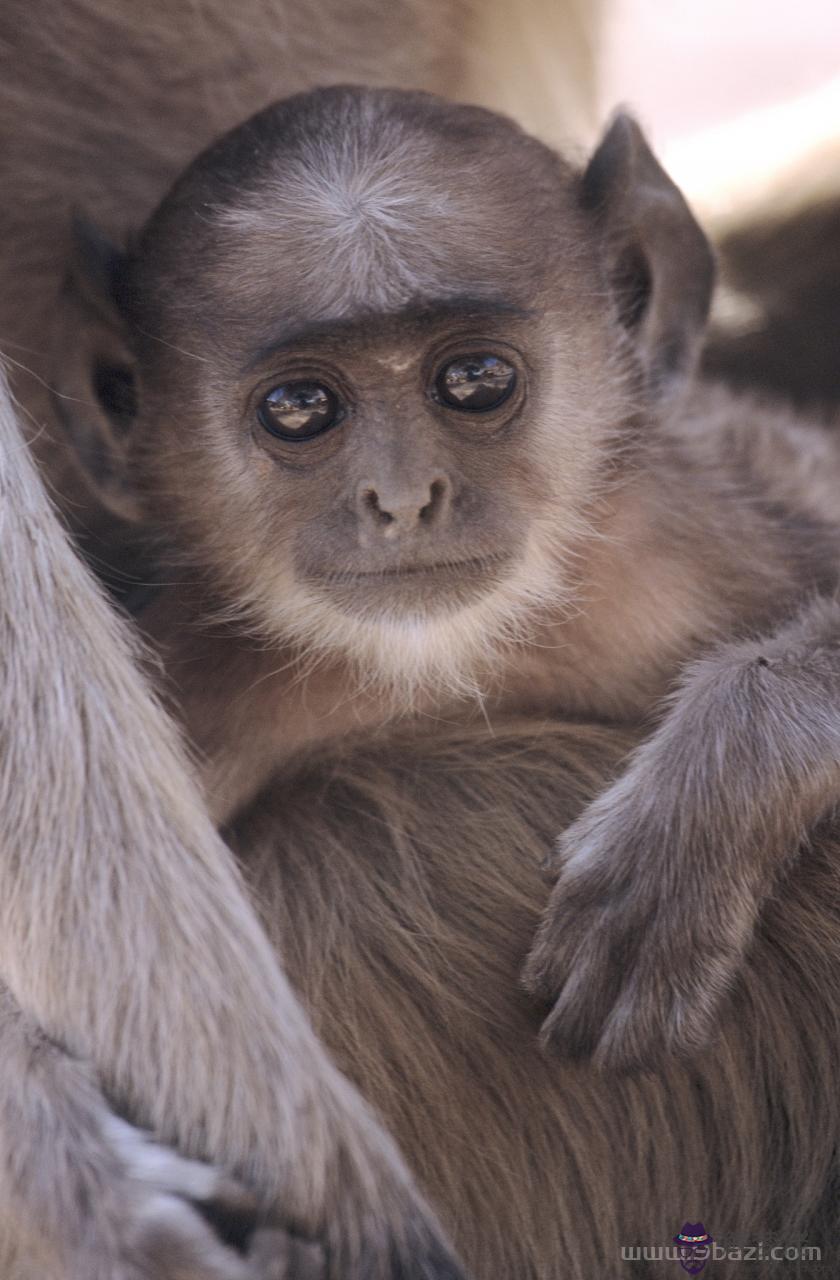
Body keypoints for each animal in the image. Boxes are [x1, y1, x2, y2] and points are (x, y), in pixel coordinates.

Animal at [57, 85, 840, 1070]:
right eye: (299, 408)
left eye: (474, 380)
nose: (402, 498)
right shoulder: (200, 700)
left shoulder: (689, 541)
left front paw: (695, 824)